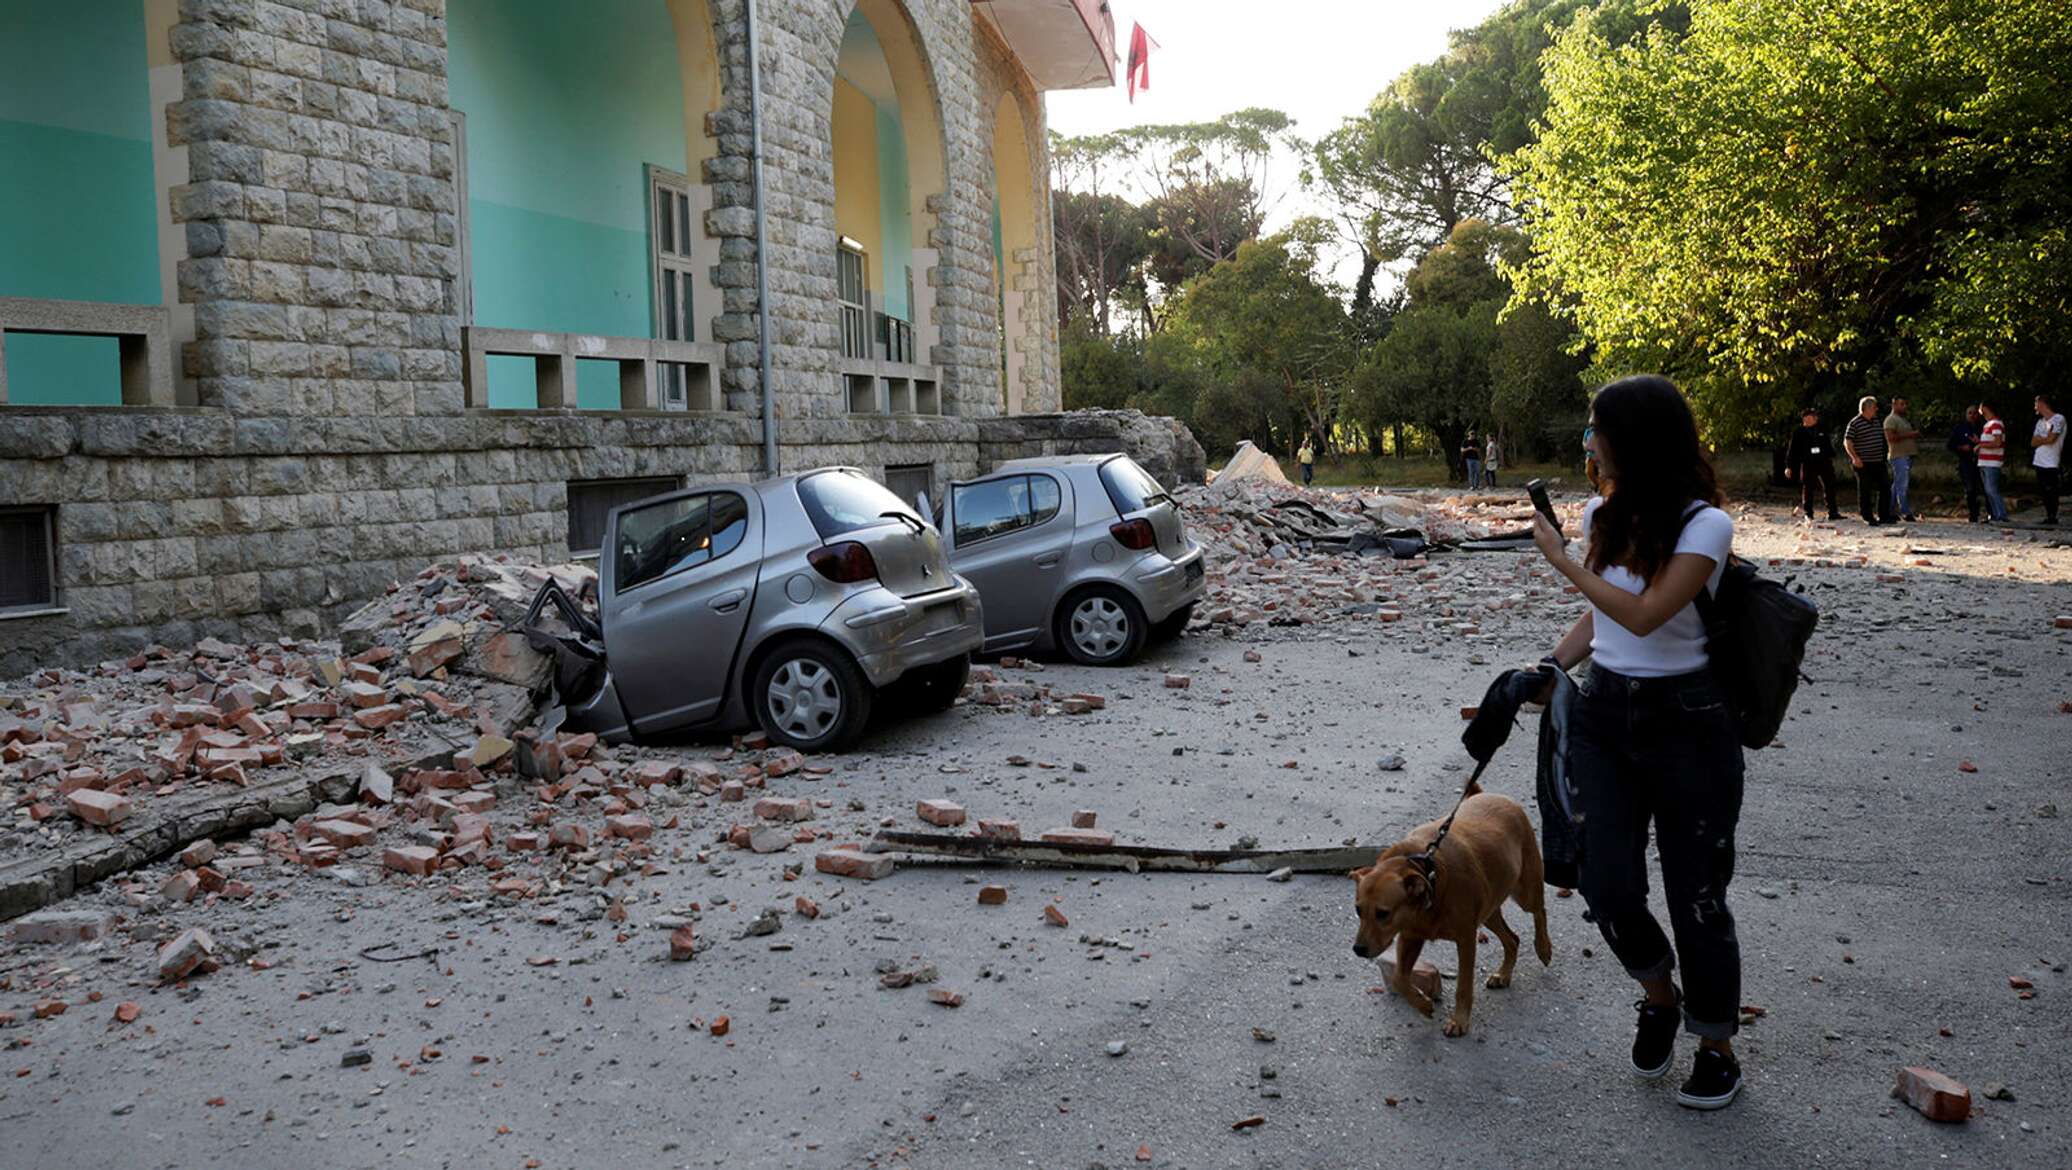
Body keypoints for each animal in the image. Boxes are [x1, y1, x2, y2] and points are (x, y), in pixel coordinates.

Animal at [1350, 778, 1549, 1035]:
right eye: (1358, 910)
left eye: (1383, 913)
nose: (1358, 949)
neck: (1428, 874)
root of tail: (1495, 796)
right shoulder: (1410, 937)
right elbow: (1399, 979)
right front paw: (1422, 1004)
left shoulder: (1466, 939)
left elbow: (1463, 986)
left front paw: (1459, 1021)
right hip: (1488, 911)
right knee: (1512, 939)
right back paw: (1504, 974)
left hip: (1525, 890)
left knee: (1539, 910)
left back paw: (1544, 948)